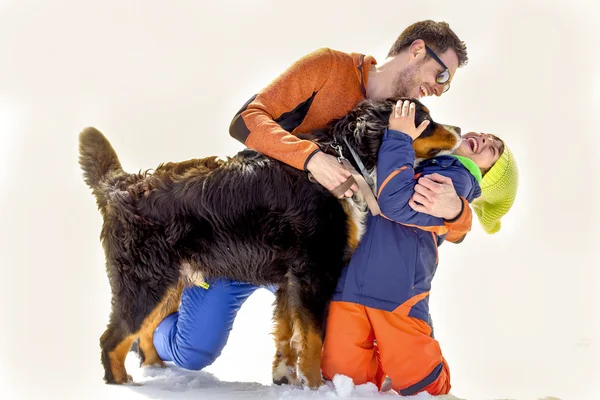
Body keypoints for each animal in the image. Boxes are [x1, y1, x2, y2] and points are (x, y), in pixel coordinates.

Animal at [78, 98, 460, 390]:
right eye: (424, 120)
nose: (457, 129)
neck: (346, 160)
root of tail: (122, 185)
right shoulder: (313, 271)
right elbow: (313, 341)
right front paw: (317, 387)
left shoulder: (290, 278)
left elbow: (288, 334)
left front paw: (286, 377)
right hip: (145, 281)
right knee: (113, 338)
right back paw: (120, 383)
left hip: (168, 281)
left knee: (144, 330)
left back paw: (159, 370)